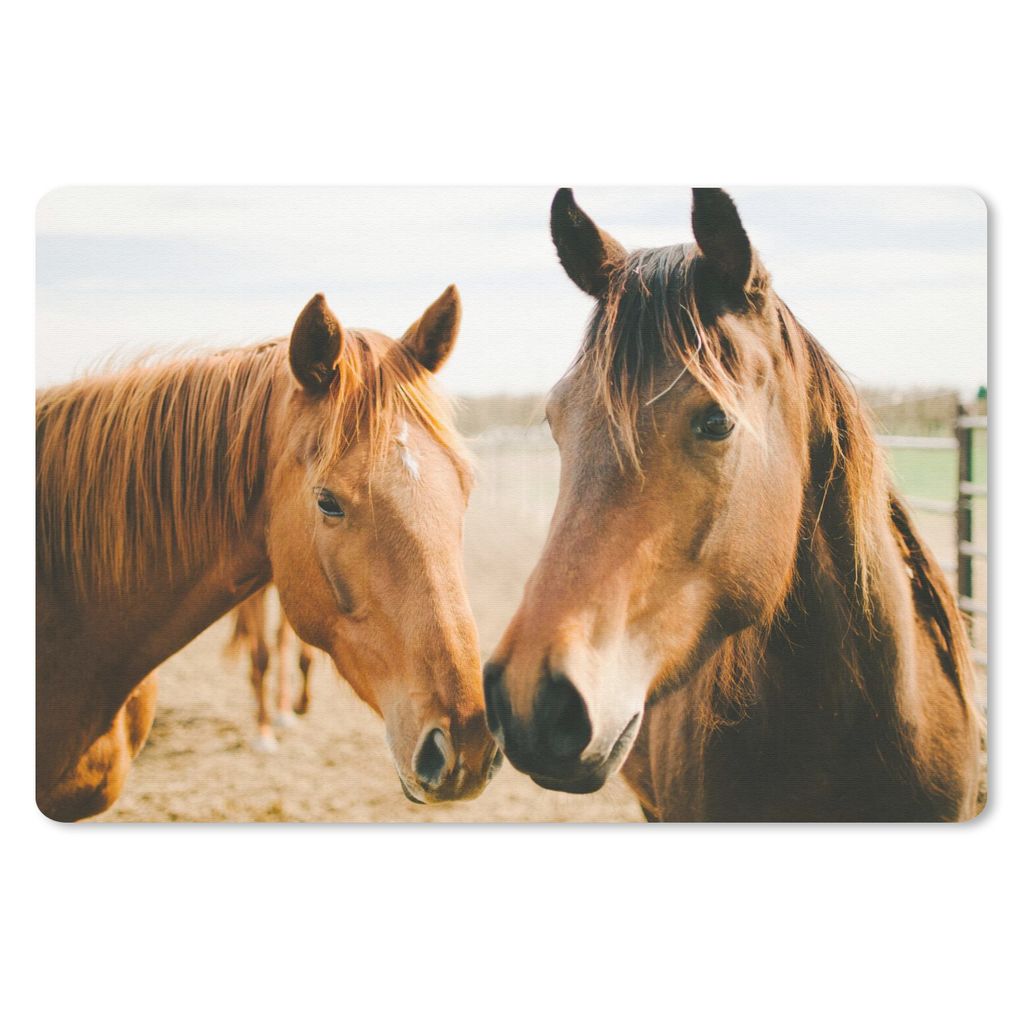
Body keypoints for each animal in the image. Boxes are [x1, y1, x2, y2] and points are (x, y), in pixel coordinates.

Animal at [226, 586, 315, 752]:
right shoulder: (253, 596)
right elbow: (261, 658)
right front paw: (264, 734)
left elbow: (306, 657)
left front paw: (301, 705)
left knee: (281, 639)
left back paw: (283, 710)